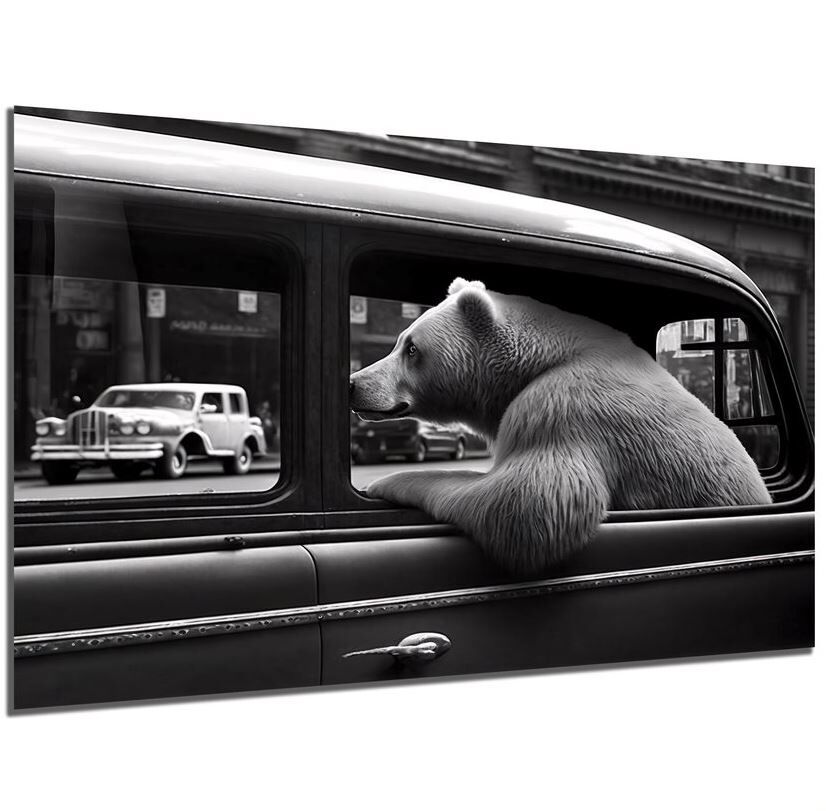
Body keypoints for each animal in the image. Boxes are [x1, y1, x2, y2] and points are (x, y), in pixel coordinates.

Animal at [349, 278, 772, 576]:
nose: (354, 383)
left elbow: (527, 506)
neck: (541, 358)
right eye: (401, 341)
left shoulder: (562, 406)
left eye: (412, 348)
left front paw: (387, 481)